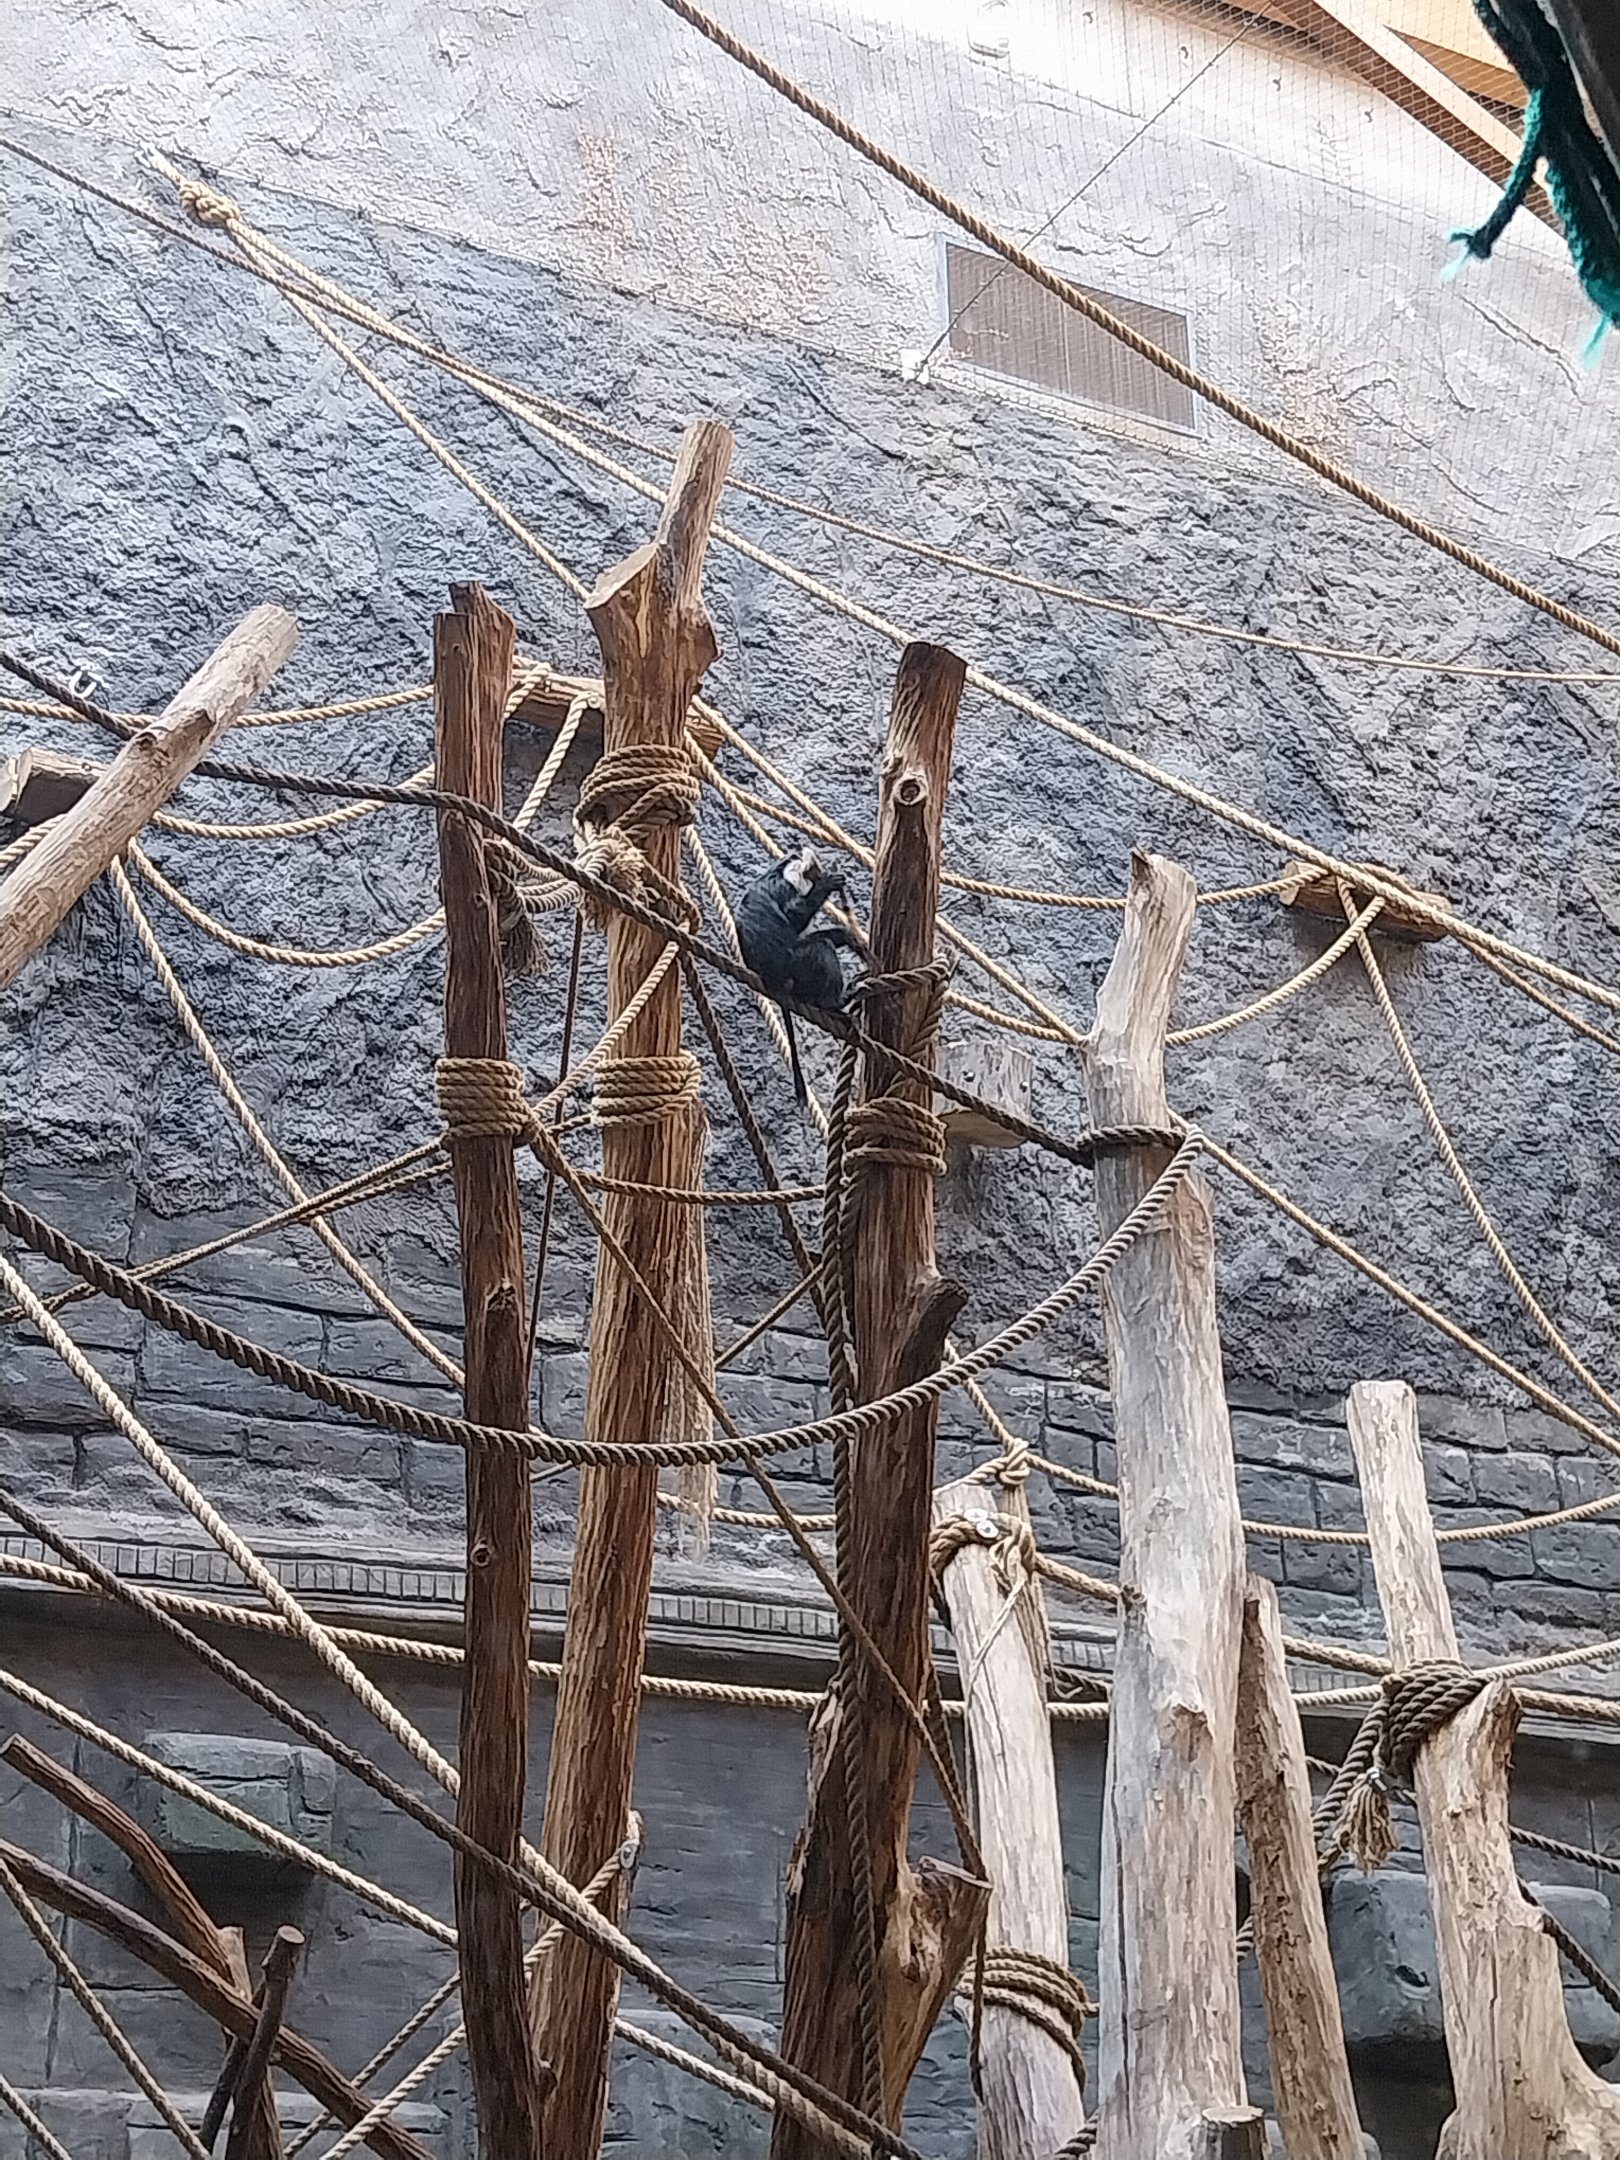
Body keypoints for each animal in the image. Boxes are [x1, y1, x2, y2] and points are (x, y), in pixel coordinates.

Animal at [734, 846, 853, 1104]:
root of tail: (773, 980)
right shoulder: (784, 884)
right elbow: (793, 915)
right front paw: (827, 885)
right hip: (797, 966)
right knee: (820, 948)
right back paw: (834, 1003)